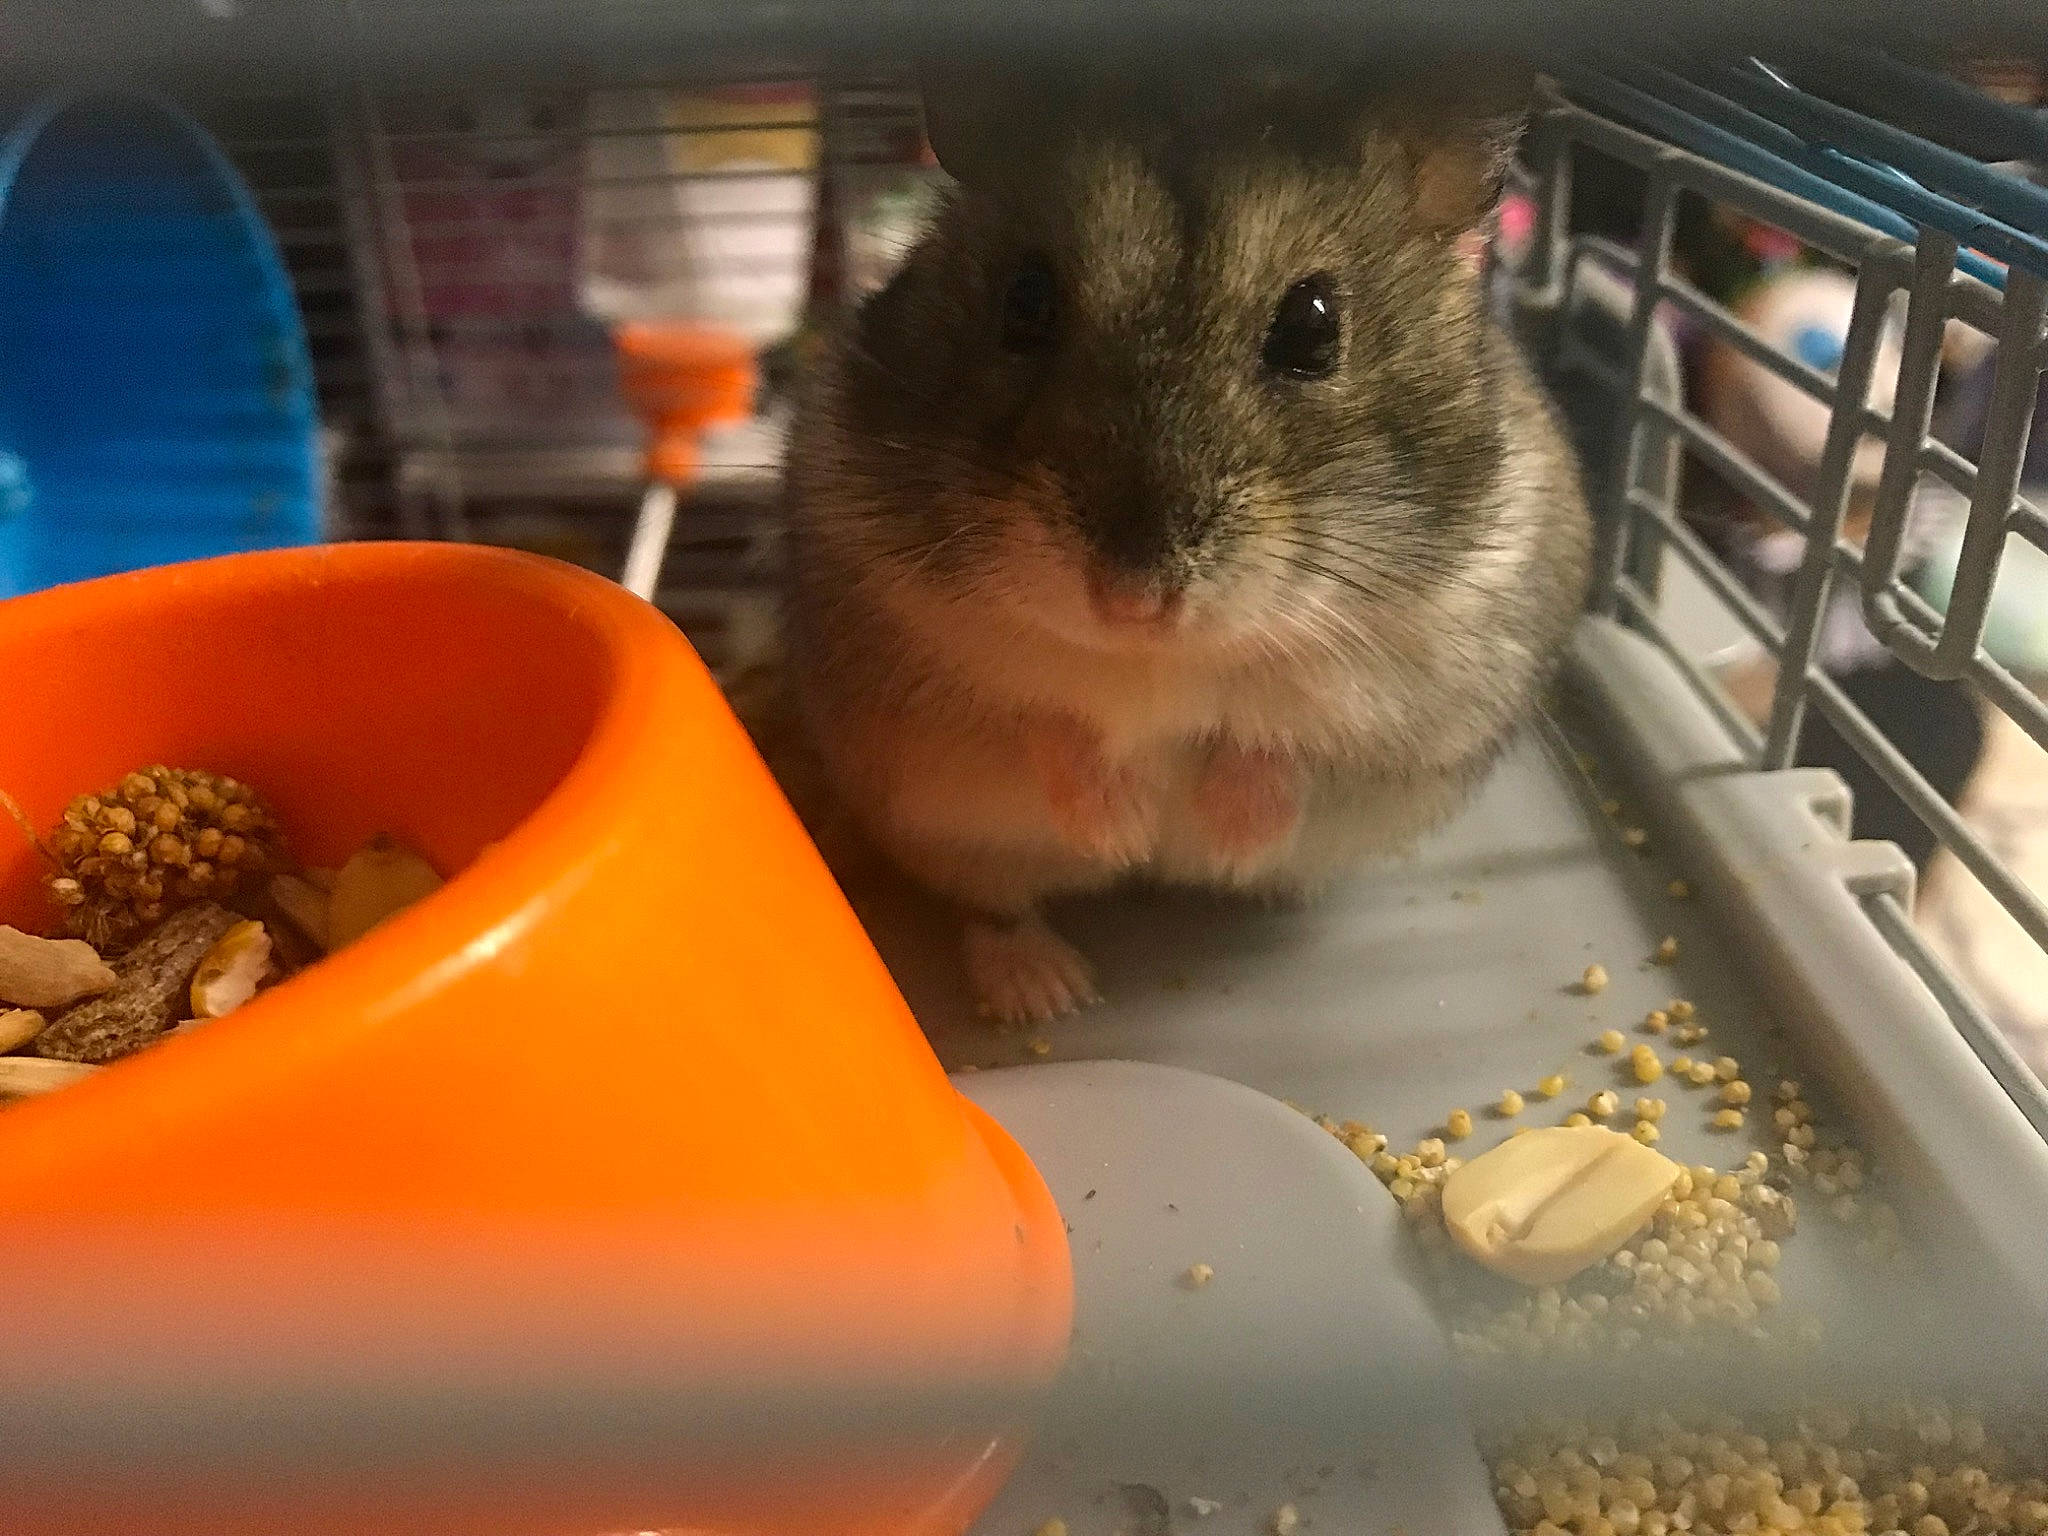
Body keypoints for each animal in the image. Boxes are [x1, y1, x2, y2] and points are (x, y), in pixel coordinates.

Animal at [782, 59, 1591, 1024]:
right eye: (1026, 298)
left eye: (1314, 324)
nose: (1131, 599)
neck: (1162, 662)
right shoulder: (922, 652)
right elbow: (1049, 720)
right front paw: (1125, 835)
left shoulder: (1409, 686)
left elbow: (1281, 744)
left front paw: (1223, 839)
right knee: (994, 908)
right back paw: (1049, 993)